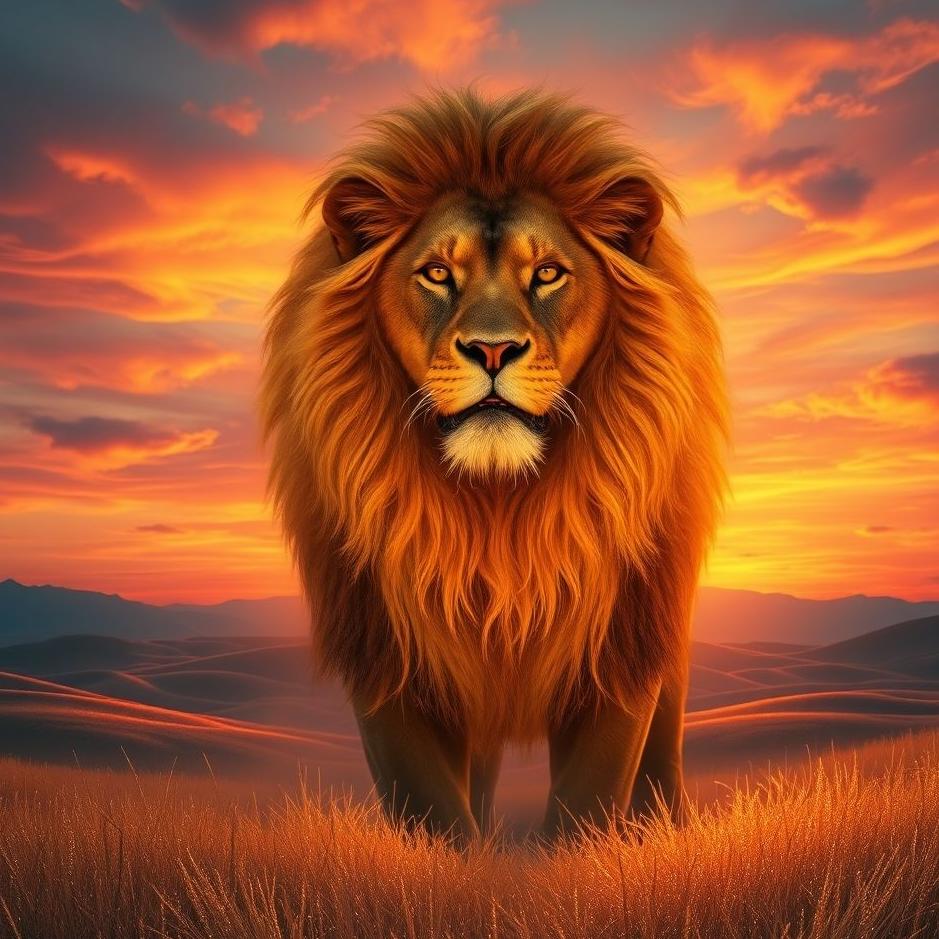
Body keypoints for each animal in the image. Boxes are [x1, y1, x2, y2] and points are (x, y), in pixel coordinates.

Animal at [260, 88, 728, 841]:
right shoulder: (384, 656)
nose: (491, 349)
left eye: (547, 273)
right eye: (436, 273)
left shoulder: (620, 651)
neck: (497, 508)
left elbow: (587, 801)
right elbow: (431, 808)